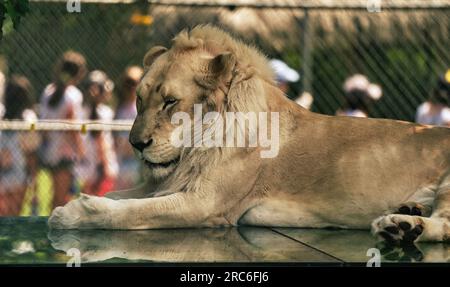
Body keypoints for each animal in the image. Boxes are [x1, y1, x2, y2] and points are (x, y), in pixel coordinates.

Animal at [49, 25, 450, 245]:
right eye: (138, 99)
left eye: (170, 102)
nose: (135, 144)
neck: (198, 147)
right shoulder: (166, 186)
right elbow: (120, 197)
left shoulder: (205, 203)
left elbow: (129, 212)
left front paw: (73, 213)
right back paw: (405, 215)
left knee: (445, 225)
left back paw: (400, 227)